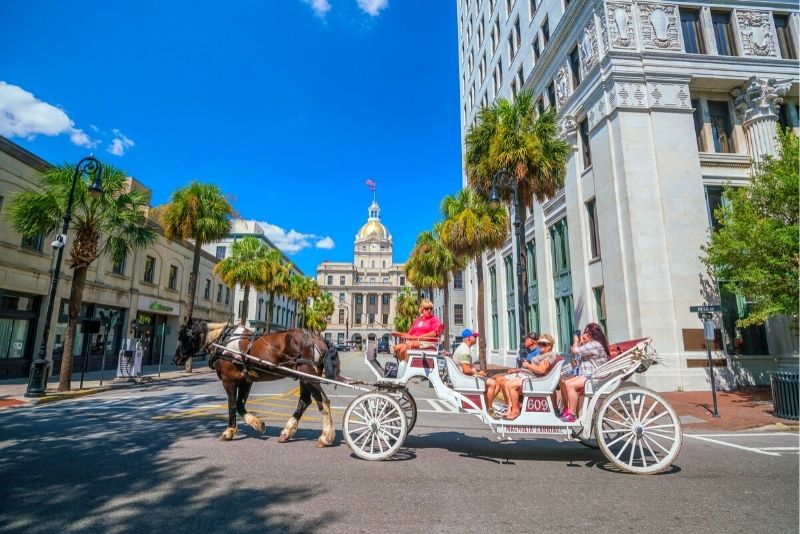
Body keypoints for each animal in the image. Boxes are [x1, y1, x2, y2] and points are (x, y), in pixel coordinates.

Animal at [173, 322, 340, 448]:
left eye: (183, 337)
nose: (176, 359)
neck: (223, 343)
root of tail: (319, 339)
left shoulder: (228, 380)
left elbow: (232, 405)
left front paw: (229, 432)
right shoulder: (246, 381)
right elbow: (240, 406)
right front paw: (258, 424)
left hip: (308, 376)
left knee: (323, 401)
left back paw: (326, 437)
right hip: (303, 377)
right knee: (304, 401)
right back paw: (286, 433)